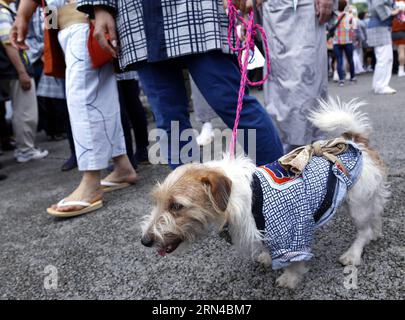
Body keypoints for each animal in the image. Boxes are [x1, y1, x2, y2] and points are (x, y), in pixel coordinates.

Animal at [141, 99, 388, 288]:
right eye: (156, 202)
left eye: (176, 206)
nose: (145, 241)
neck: (237, 202)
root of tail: (355, 141)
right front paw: (268, 257)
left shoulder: (291, 234)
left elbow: (294, 261)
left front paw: (290, 279)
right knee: (375, 215)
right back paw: (376, 233)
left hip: (357, 204)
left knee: (363, 230)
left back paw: (353, 254)